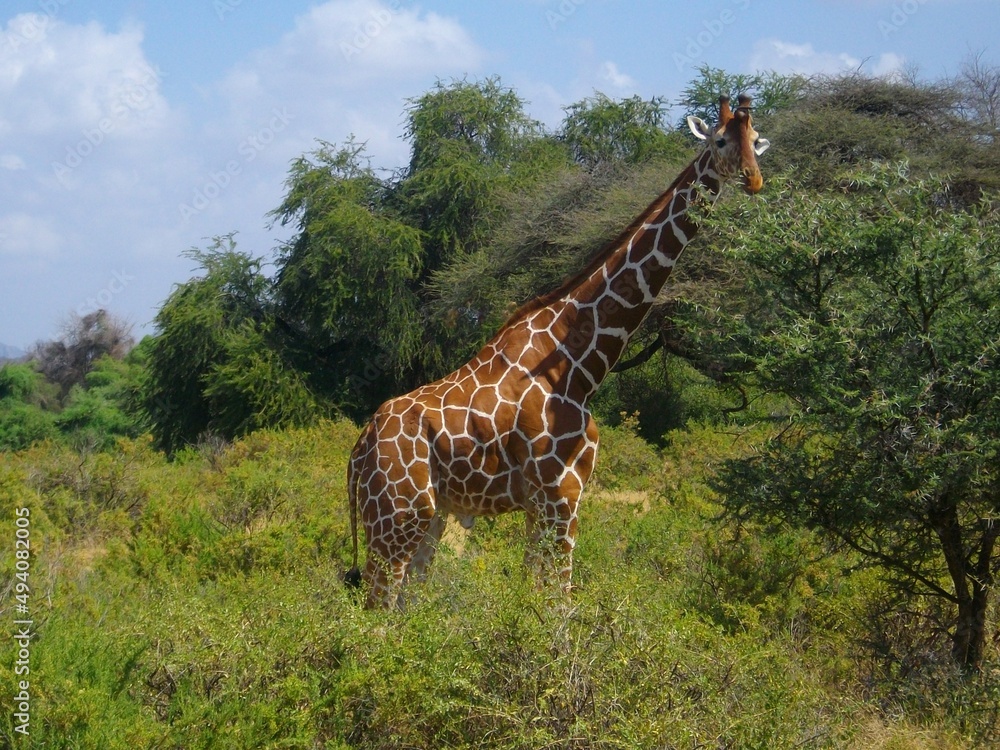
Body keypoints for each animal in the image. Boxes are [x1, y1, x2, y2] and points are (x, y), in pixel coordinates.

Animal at [346, 95, 770, 608]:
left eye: (756, 141)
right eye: (721, 140)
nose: (752, 179)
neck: (579, 365)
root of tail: (358, 451)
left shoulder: (544, 501)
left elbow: (536, 596)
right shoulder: (561, 494)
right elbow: (561, 602)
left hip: (431, 517)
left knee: (403, 606)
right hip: (397, 515)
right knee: (376, 609)